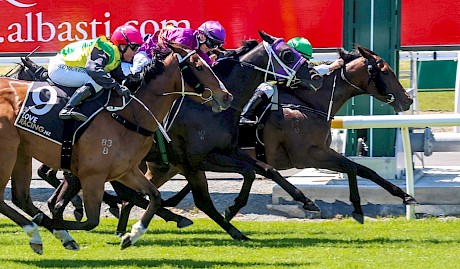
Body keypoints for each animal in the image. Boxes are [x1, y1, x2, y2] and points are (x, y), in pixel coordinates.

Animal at [0, 43, 232, 253]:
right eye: (199, 67)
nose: (226, 96)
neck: (128, 115)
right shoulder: (92, 175)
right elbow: (90, 221)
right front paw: (56, 225)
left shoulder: (126, 170)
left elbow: (154, 196)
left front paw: (132, 234)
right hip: (8, 153)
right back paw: (39, 231)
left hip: (21, 153)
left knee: (21, 197)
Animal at [260, 46, 418, 222]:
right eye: (384, 71)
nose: (408, 100)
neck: (308, 104)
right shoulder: (304, 157)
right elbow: (351, 167)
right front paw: (357, 207)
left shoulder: (323, 149)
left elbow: (363, 169)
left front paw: (405, 196)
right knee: (270, 172)